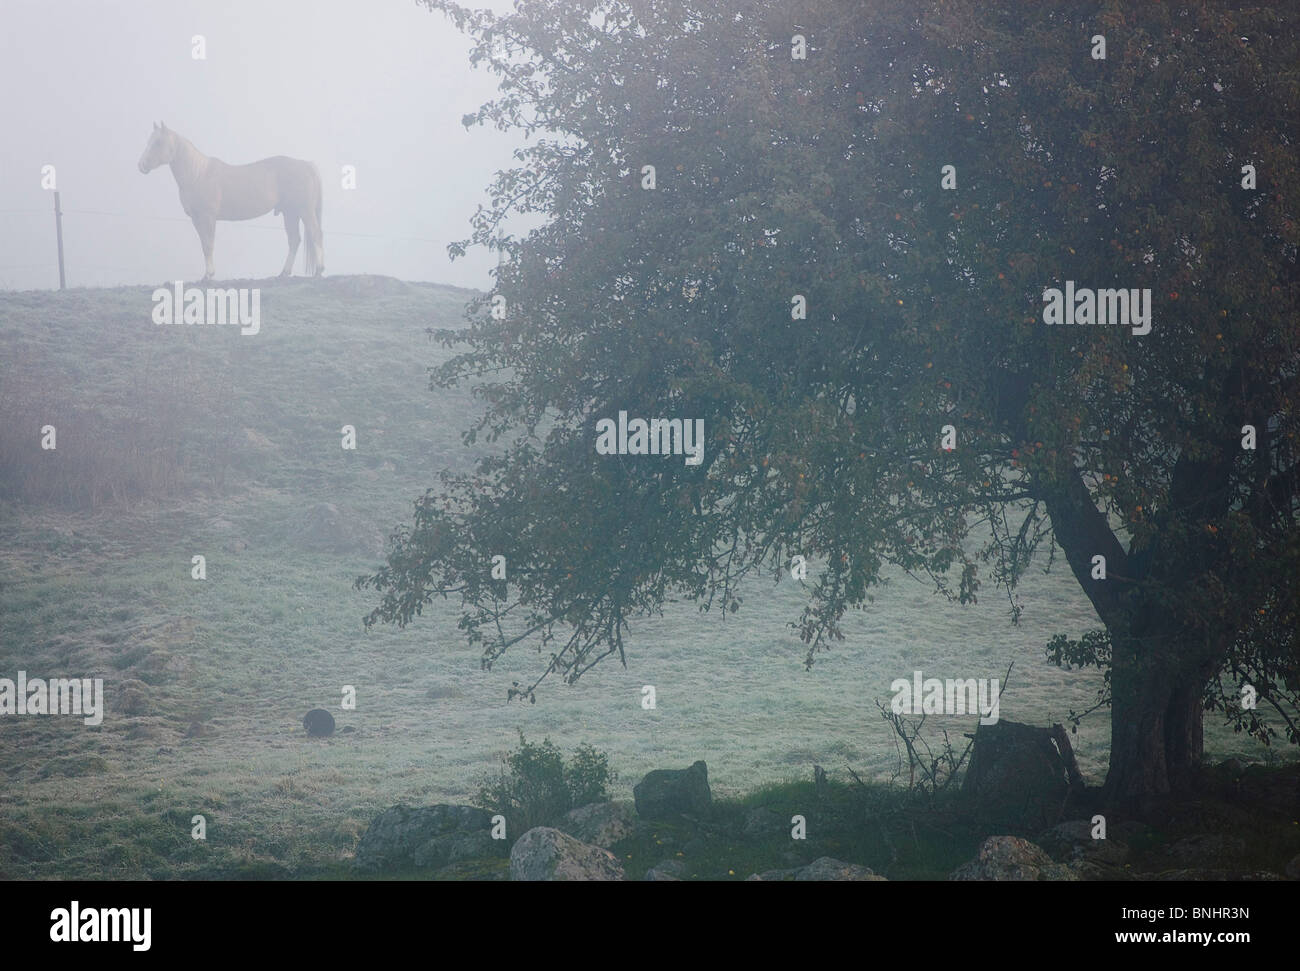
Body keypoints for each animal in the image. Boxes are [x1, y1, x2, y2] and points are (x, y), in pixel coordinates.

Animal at [138, 122, 323, 280]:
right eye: (149, 141)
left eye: (158, 142)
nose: (141, 165)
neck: (198, 175)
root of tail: (306, 165)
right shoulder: (196, 220)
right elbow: (204, 245)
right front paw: (206, 275)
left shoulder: (208, 218)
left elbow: (209, 245)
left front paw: (209, 276)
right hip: (290, 213)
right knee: (294, 240)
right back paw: (283, 273)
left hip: (305, 211)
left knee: (315, 234)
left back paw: (319, 271)